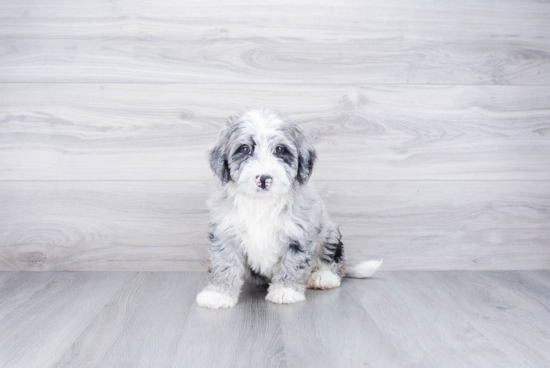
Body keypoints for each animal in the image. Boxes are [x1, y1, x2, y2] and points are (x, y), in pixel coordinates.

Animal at [198, 108, 384, 308]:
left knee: (333, 260)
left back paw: (323, 276)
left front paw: (285, 291)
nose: (264, 178)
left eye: (280, 149)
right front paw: (219, 294)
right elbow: (224, 263)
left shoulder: (298, 234)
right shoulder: (225, 233)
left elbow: (292, 263)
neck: (262, 202)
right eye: (245, 149)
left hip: (329, 232)